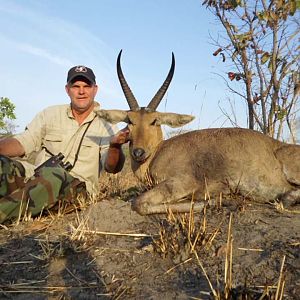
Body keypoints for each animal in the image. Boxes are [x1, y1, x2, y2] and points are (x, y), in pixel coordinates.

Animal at [98, 52, 300, 216]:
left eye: (154, 120)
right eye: (129, 120)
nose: (138, 152)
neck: (158, 152)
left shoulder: (183, 182)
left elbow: (138, 203)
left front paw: (212, 202)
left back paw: (286, 198)